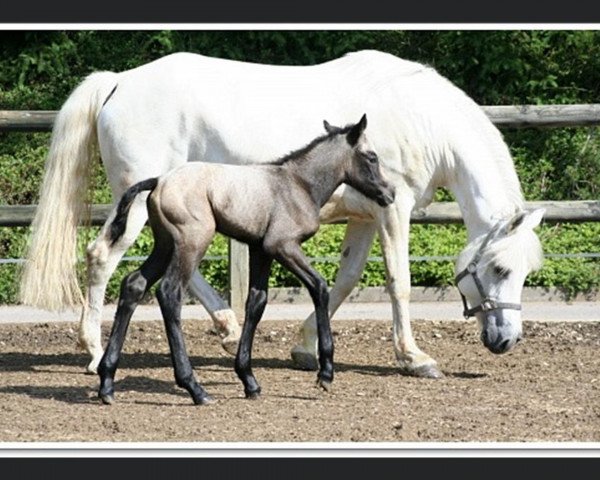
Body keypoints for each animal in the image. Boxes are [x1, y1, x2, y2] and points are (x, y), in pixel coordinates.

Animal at [19, 49, 544, 378]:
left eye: (524, 272)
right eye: (499, 269)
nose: (506, 340)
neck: (421, 120)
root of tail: (119, 83)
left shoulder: (364, 218)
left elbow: (345, 281)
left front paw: (305, 348)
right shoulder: (393, 211)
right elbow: (399, 282)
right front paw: (415, 358)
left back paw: (227, 328)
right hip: (136, 208)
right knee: (101, 257)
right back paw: (93, 353)